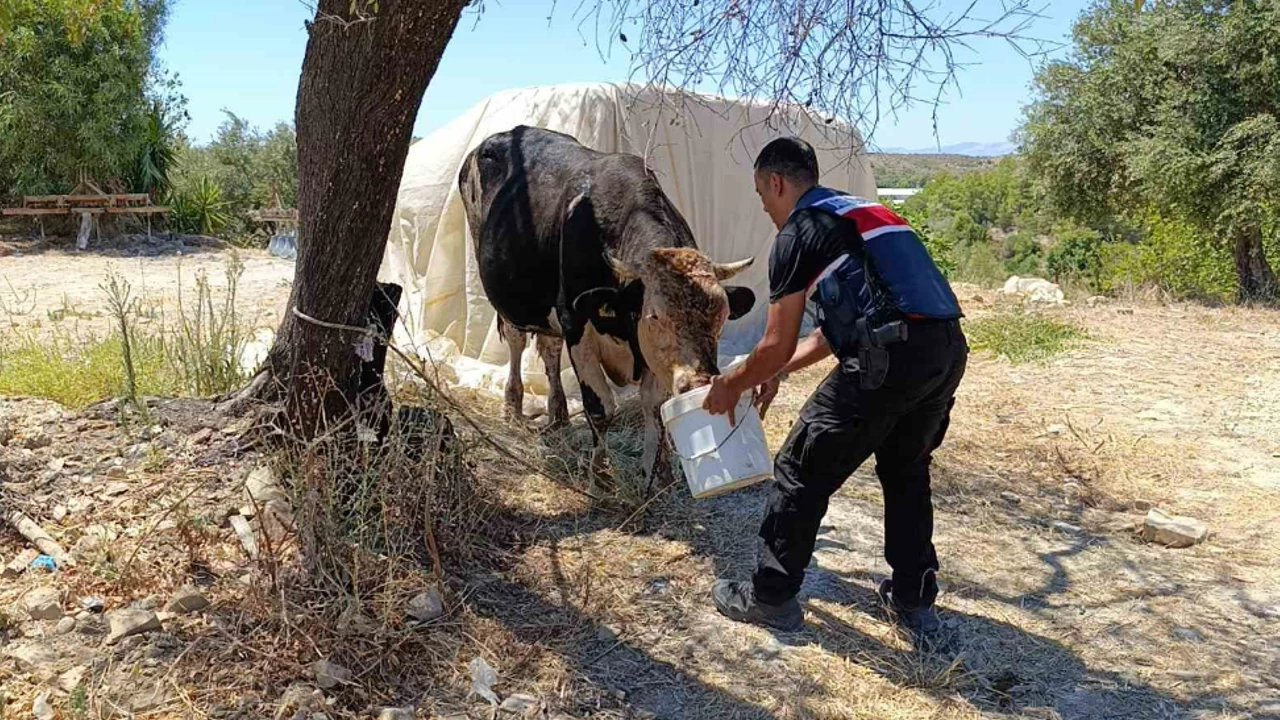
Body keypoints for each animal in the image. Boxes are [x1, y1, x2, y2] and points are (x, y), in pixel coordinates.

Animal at [460, 127, 752, 486]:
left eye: (721, 317)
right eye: (654, 316)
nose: (699, 382)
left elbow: (654, 405)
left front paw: (659, 471)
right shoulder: (576, 322)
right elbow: (600, 407)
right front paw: (599, 473)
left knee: (550, 349)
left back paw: (558, 414)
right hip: (509, 296)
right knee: (517, 342)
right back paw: (513, 407)